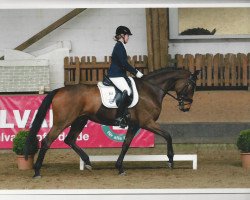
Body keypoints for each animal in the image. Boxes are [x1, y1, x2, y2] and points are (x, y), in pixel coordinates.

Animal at [23, 68, 199, 177]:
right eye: (191, 86)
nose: (186, 107)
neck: (151, 89)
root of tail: (60, 90)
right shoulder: (146, 122)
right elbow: (168, 136)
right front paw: (170, 160)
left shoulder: (134, 125)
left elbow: (126, 144)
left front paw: (119, 167)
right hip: (63, 122)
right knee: (47, 141)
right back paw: (37, 171)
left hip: (80, 120)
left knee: (70, 139)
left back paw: (87, 162)